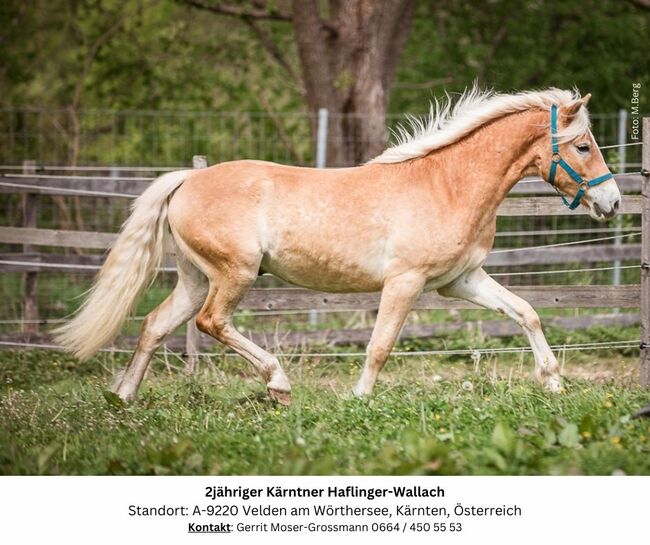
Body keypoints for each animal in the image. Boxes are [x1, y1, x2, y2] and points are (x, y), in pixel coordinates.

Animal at [54, 88, 616, 404]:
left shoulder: (460, 282)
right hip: (234, 274)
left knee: (154, 325)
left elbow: (526, 313)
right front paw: (360, 399)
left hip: (195, 278)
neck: (447, 184)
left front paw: (553, 383)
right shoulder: (405, 281)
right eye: (583, 146)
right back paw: (278, 383)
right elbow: (380, 345)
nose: (611, 202)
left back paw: (124, 397)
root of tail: (188, 180)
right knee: (211, 323)